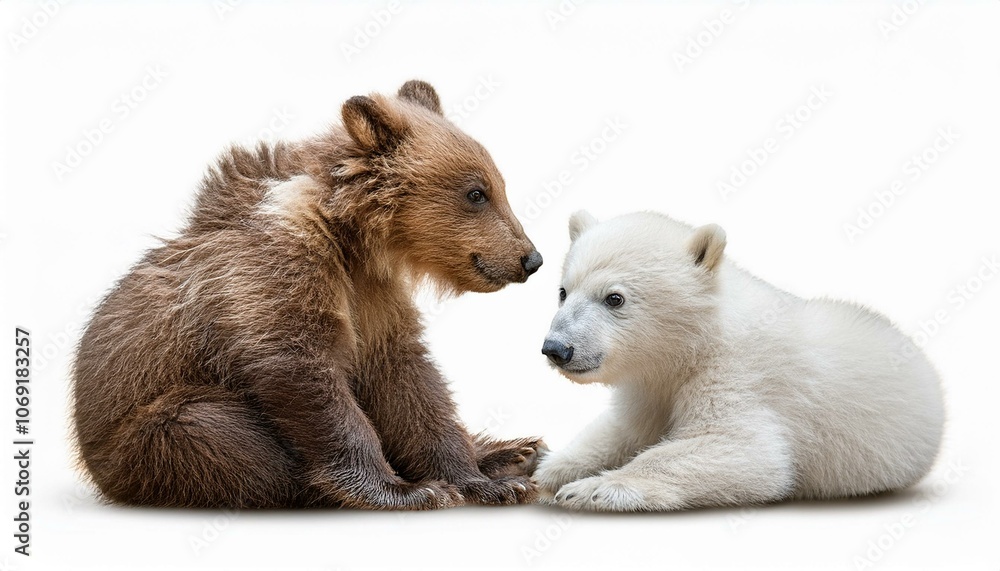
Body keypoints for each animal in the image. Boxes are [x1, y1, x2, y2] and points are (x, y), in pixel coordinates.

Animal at [71, 80, 546, 509]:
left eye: (498, 186)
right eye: (476, 192)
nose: (531, 258)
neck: (350, 238)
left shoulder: (374, 297)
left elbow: (406, 379)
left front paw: (481, 481)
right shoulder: (273, 272)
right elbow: (303, 370)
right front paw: (406, 489)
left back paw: (515, 453)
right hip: (140, 435)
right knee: (211, 432)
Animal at [534, 210, 944, 511]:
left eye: (614, 298)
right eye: (563, 291)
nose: (556, 348)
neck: (699, 338)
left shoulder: (738, 375)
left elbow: (745, 451)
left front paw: (591, 489)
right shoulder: (650, 383)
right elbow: (625, 430)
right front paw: (548, 468)